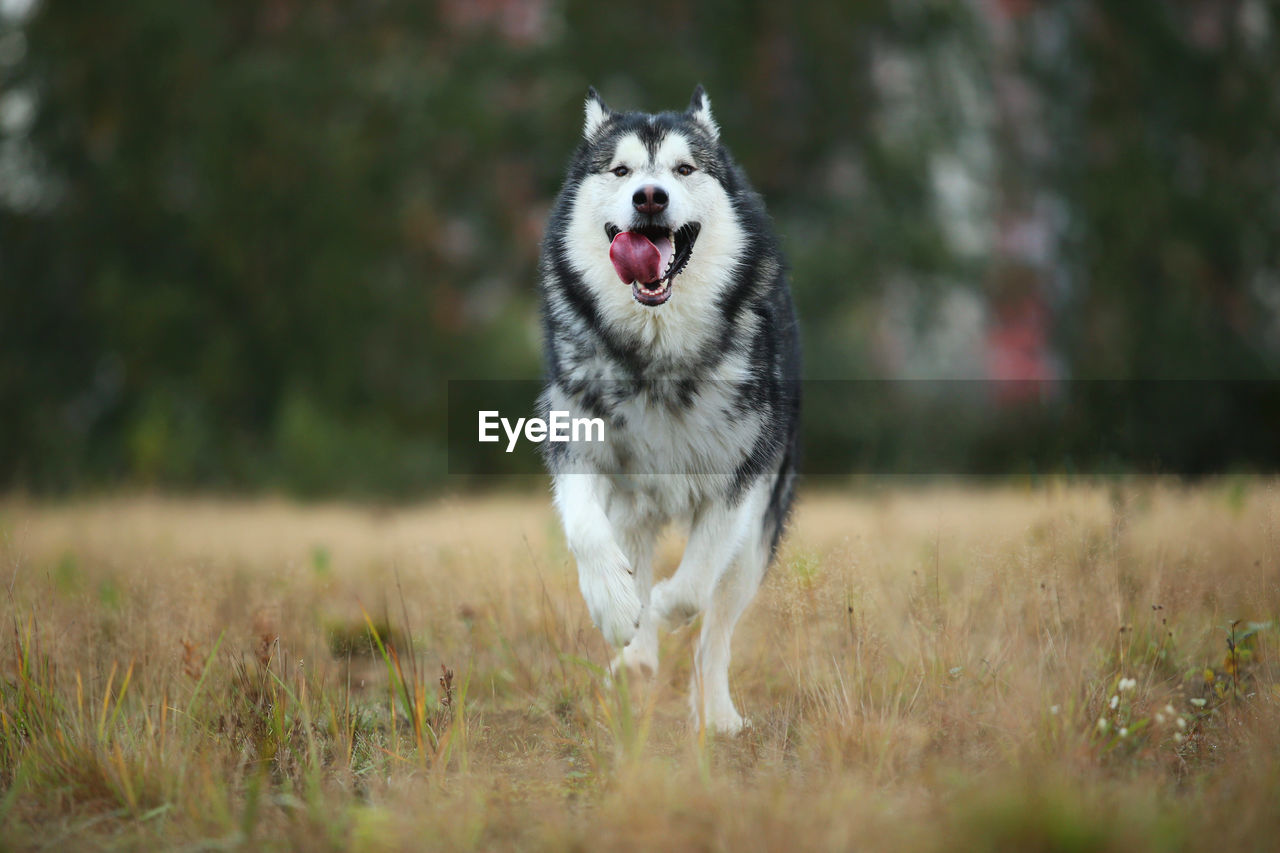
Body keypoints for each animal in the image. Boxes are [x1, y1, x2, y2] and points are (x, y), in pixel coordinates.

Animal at [532, 86, 793, 732]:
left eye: (684, 169)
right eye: (621, 171)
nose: (650, 196)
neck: (658, 353)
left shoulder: (743, 474)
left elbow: (696, 582)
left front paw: (669, 606)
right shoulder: (574, 439)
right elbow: (585, 530)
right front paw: (612, 604)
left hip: (759, 538)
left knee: (716, 630)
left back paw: (717, 713)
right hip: (635, 511)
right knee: (636, 560)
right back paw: (635, 660)